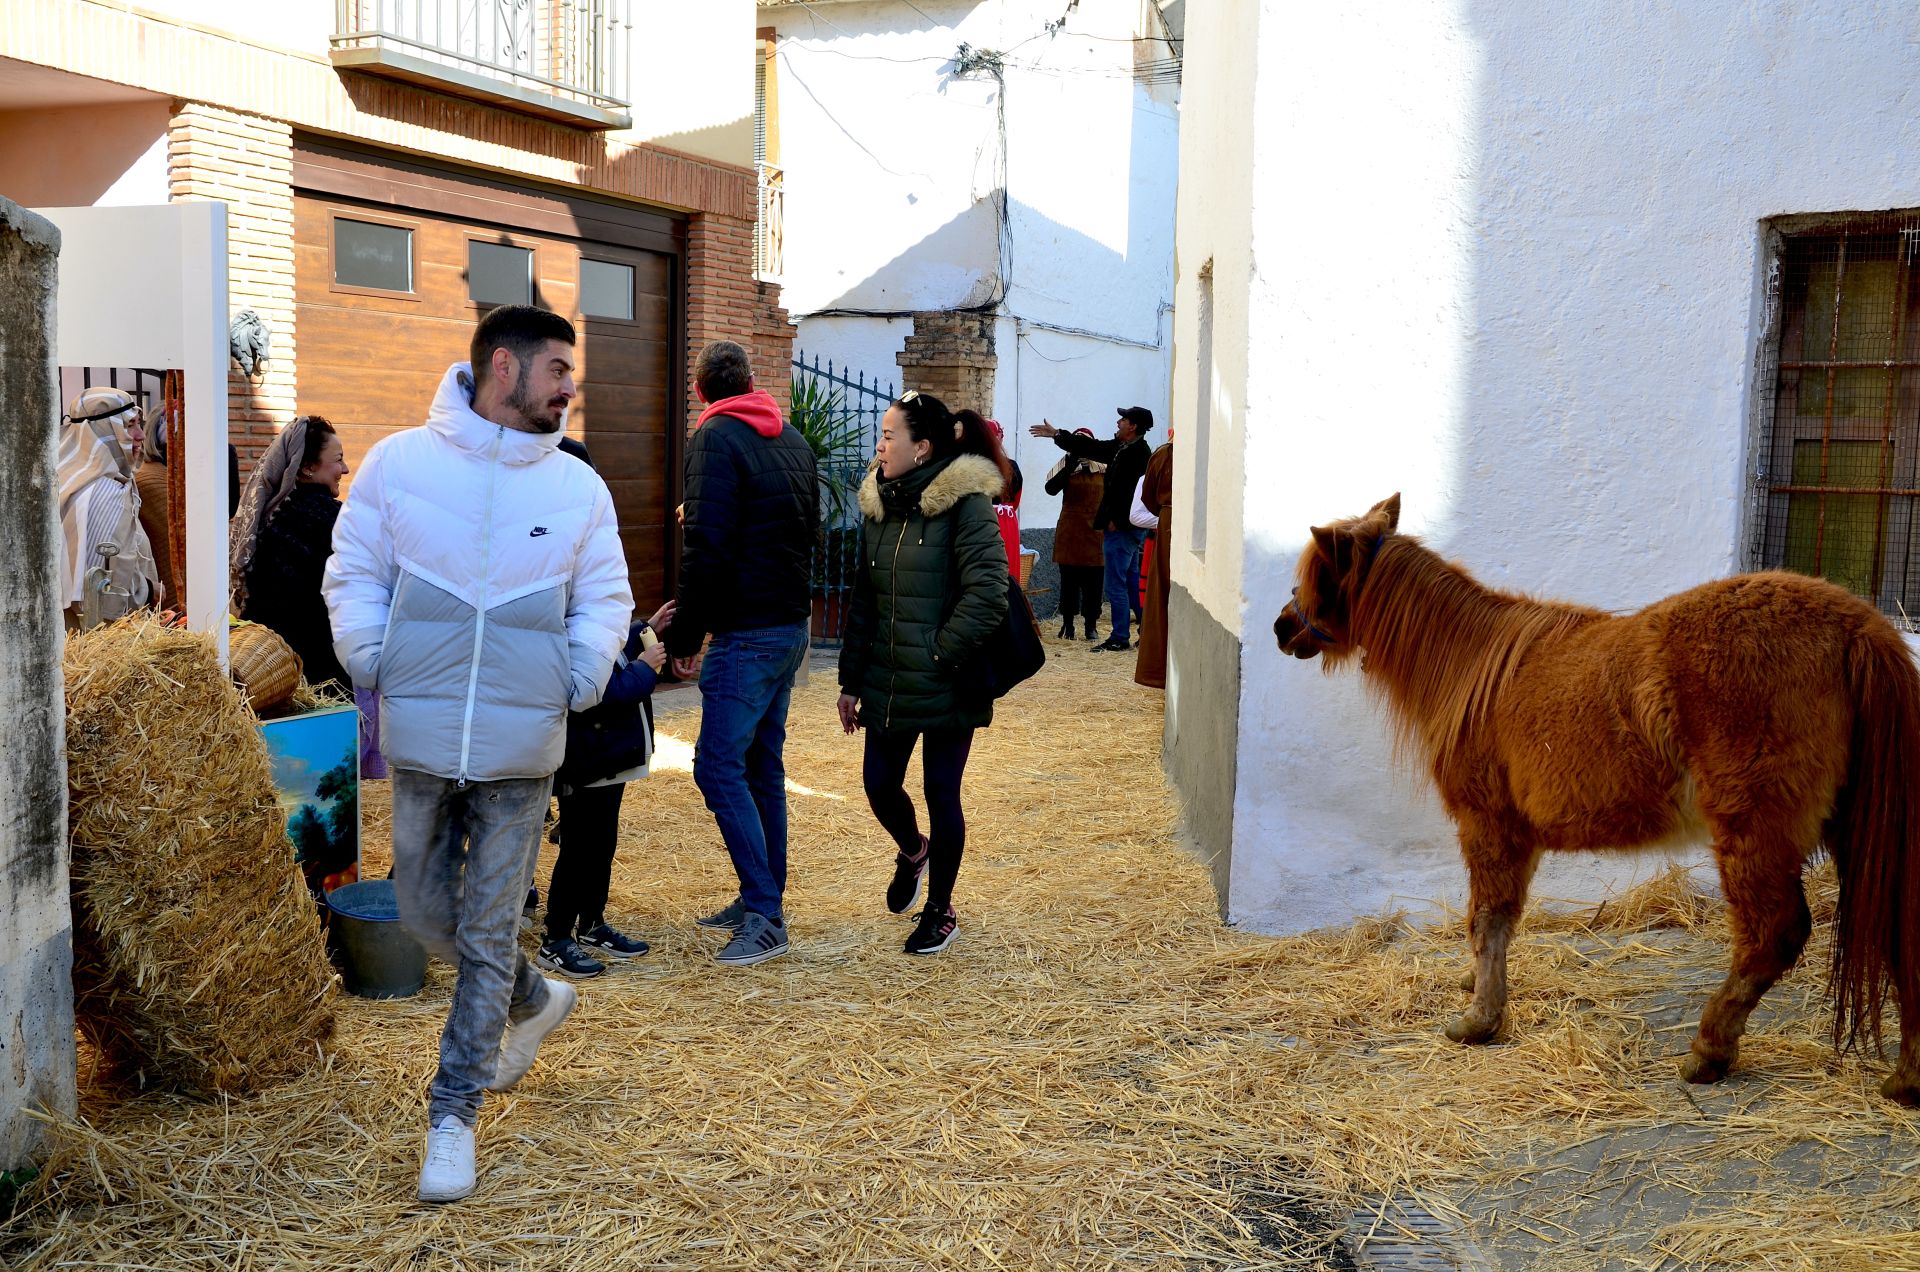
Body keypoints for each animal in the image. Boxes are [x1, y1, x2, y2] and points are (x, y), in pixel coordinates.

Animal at [1274, 491, 1920, 1114]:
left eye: (1312, 578)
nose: (1282, 628)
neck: (1469, 666)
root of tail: (1857, 625)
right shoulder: (1519, 836)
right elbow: (1499, 921)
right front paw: (1476, 990)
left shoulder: (1487, 823)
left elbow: (1486, 918)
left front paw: (1478, 1021)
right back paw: (1906, 1078)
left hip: (1755, 830)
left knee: (1771, 936)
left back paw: (1709, 1051)